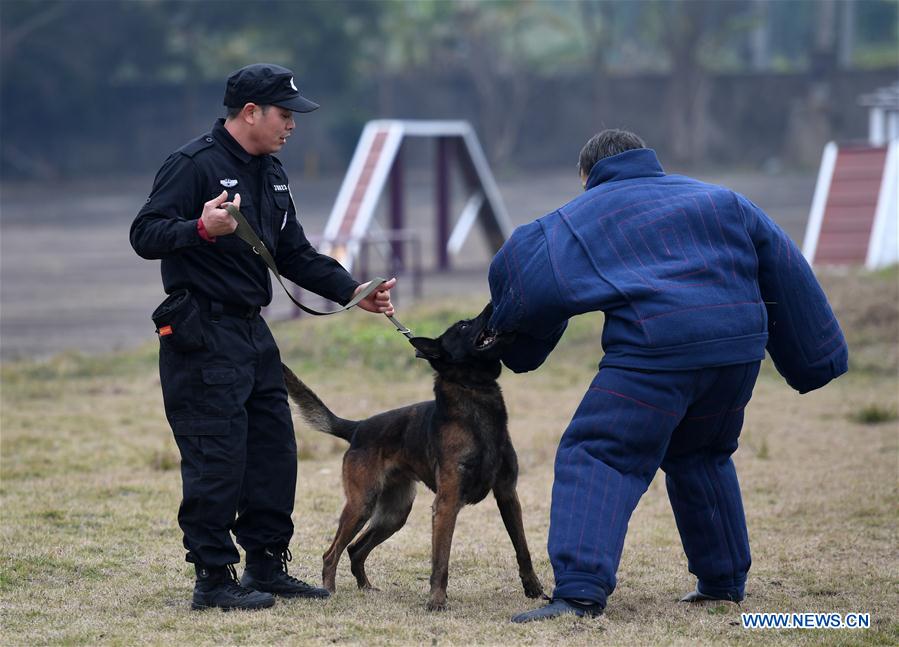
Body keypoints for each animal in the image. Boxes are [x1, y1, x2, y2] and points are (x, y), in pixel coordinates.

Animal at [284, 302, 544, 608]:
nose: (491, 305)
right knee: (332, 552)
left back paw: (366, 587)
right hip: (362, 505)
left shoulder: (507, 495)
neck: (475, 393)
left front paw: (534, 589)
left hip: (394, 514)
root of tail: (358, 427)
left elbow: (522, 548)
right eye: (463, 326)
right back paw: (329, 590)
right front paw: (436, 601)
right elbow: (440, 560)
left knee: (356, 549)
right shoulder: (446, 504)